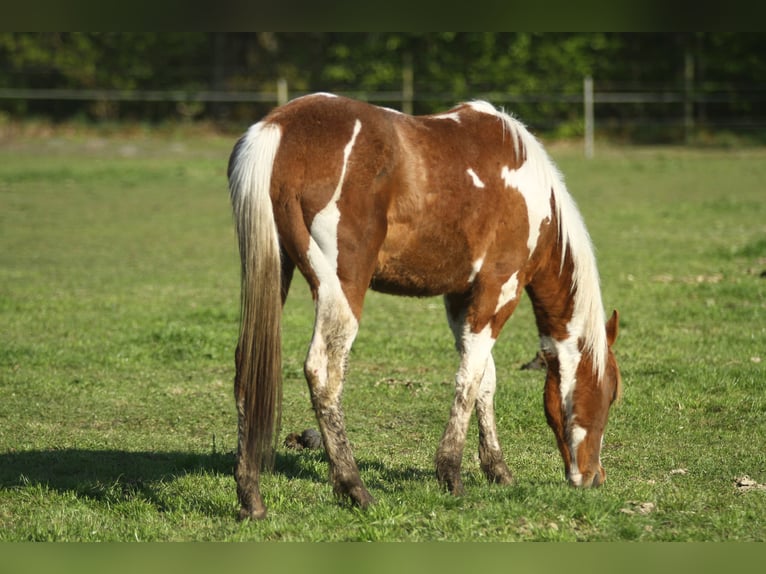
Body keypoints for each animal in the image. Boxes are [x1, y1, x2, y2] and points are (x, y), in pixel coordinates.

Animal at [228, 93, 624, 520]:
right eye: (610, 394)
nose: (593, 477)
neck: (533, 194)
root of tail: (279, 127)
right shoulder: (499, 290)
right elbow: (469, 378)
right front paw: (451, 473)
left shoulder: (460, 299)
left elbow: (484, 379)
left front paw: (497, 470)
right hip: (341, 290)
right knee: (324, 372)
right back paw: (355, 488)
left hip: (273, 269)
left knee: (246, 367)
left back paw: (250, 498)